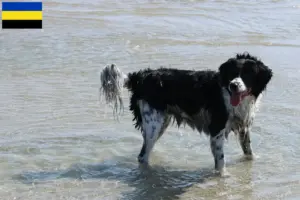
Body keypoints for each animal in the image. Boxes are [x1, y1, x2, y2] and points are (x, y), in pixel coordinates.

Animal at [99, 52, 274, 175]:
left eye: (247, 74)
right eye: (232, 73)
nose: (234, 85)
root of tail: (141, 76)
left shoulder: (244, 126)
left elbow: (248, 150)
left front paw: (254, 161)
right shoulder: (217, 130)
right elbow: (220, 161)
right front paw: (223, 176)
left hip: (161, 122)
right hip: (153, 124)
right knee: (143, 155)